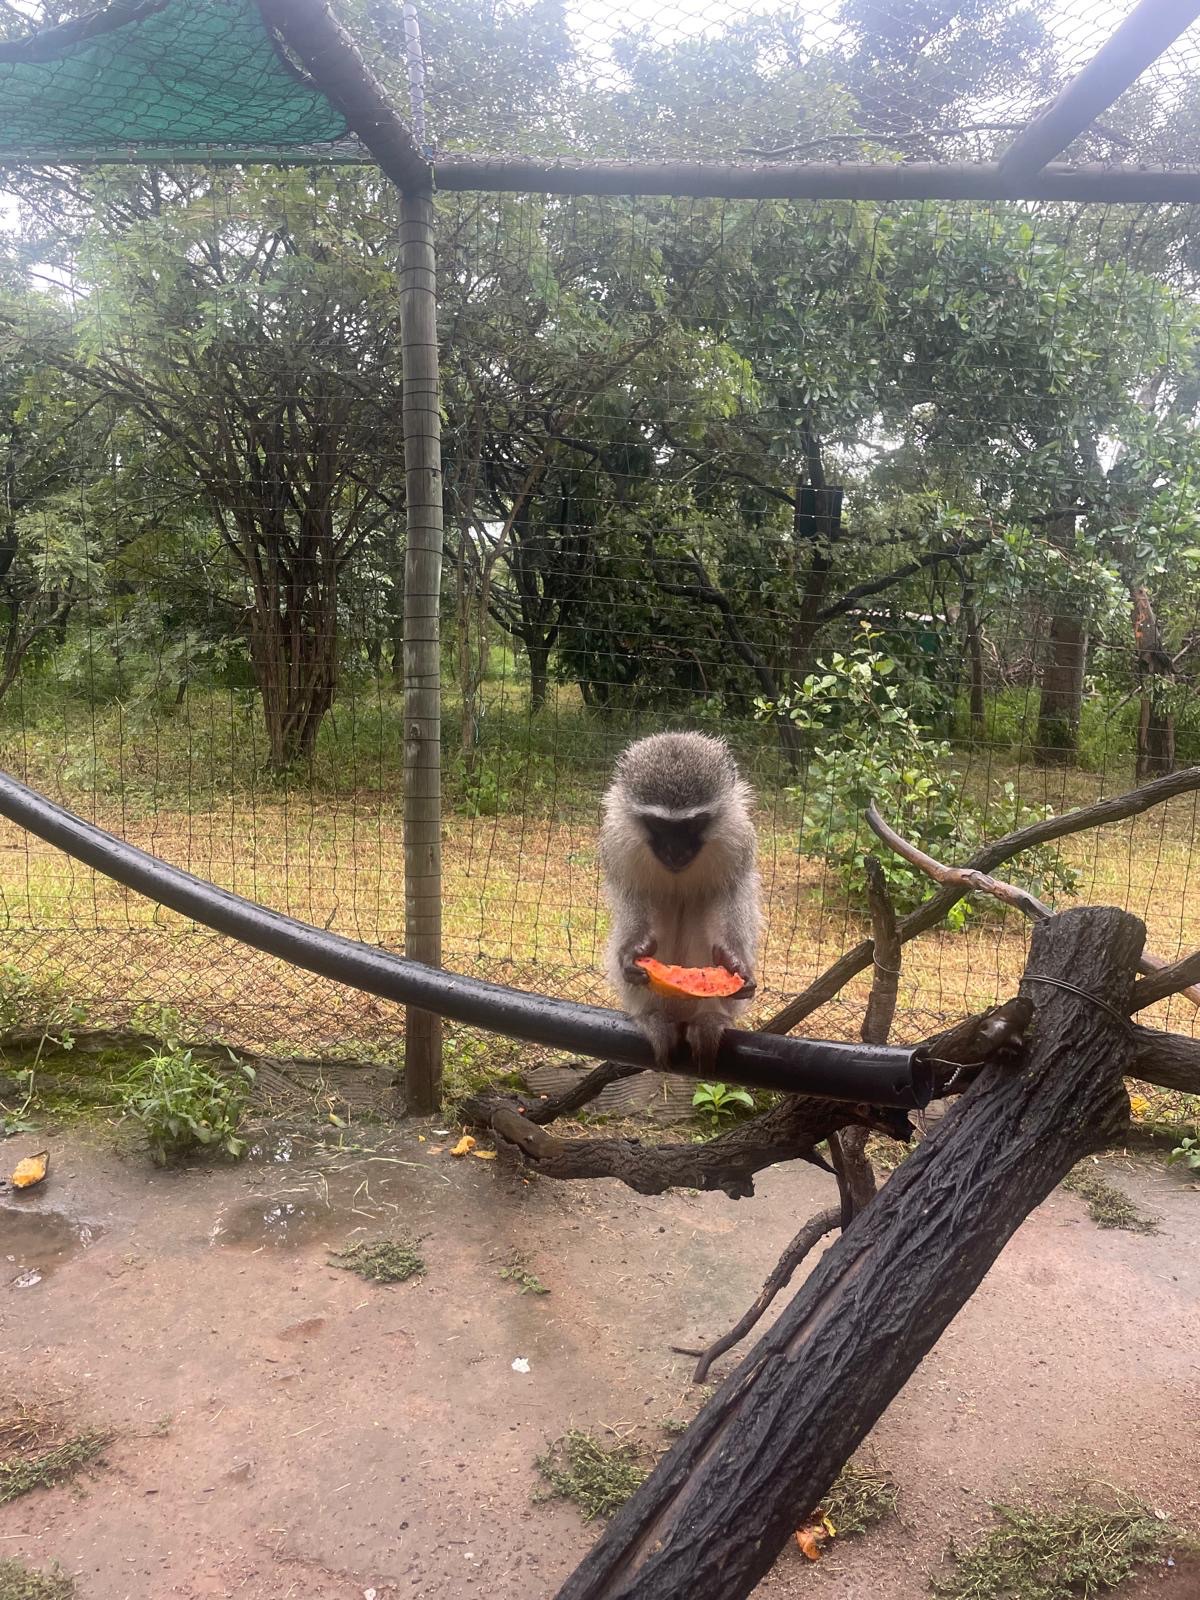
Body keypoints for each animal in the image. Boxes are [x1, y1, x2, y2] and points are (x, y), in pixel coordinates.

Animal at [599, 731, 763, 1074]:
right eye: (659, 824)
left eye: (692, 824)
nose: (675, 852)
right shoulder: (617, 840)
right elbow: (633, 894)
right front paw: (633, 949)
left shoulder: (737, 836)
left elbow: (728, 893)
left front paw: (734, 960)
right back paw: (653, 1018)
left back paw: (709, 1019)